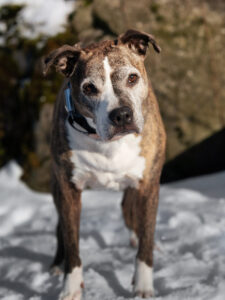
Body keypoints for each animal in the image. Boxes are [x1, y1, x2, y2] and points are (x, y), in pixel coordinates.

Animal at [43, 29, 165, 298]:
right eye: (89, 88)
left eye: (132, 78)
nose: (121, 115)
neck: (106, 144)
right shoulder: (68, 188)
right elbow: (71, 241)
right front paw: (71, 287)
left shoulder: (148, 183)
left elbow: (147, 236)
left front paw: (143, 286)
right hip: (57, 186)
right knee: (60, 228)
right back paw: (56, 263)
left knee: (130, 212)